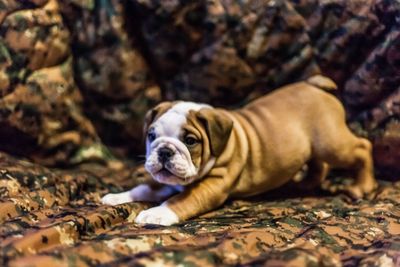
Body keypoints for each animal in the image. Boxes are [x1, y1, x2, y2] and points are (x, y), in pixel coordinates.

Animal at [101, 75, 376, 226]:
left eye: (190, 140)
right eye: (151, 135)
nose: (165, 151)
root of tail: (315, 85)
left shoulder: (211, 186)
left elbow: (180, 200)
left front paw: (156, 213)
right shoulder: (165, 180)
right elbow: (145, 187)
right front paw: (117, 197)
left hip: (332, 143)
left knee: (363, 147)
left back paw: (362, 187)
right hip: (314, 147)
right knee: (319, 165)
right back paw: (306, 184)